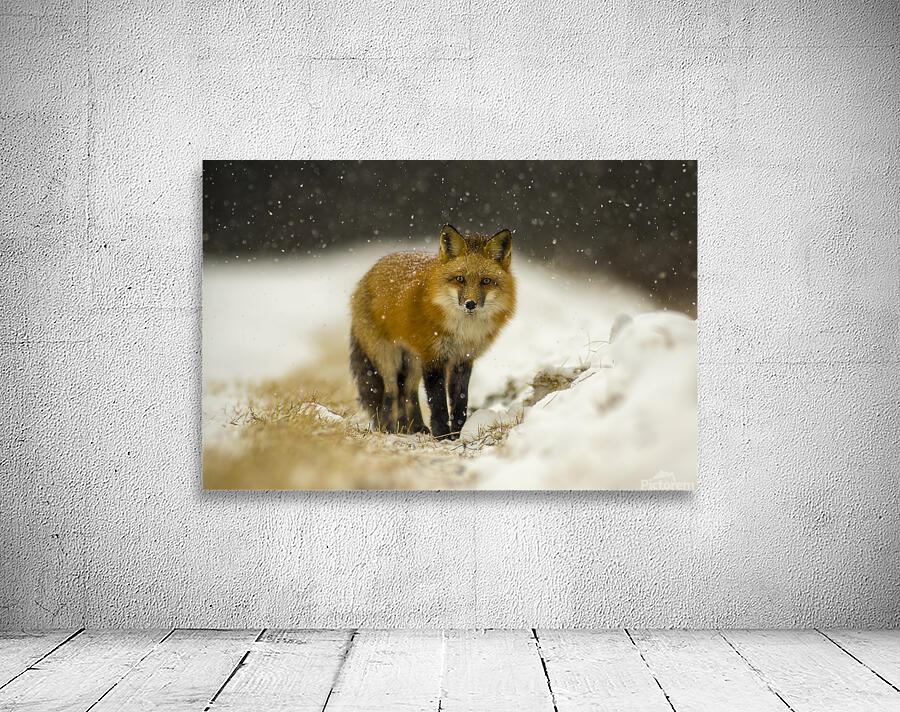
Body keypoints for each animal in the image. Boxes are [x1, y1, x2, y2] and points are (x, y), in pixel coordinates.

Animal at [350, 225, 516, 440]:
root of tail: (368, 273)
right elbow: (437, 401)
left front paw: (458, 432)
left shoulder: (463, 359)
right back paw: (388, 428)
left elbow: (460, 400)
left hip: (412, 361)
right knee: (391, 391)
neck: (463, 331)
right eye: (460, 279)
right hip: (389, 357)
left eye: (486, 281)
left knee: (408, 392)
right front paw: (442, 434)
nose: (470, 304)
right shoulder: (433, 357)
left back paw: (412, 427)